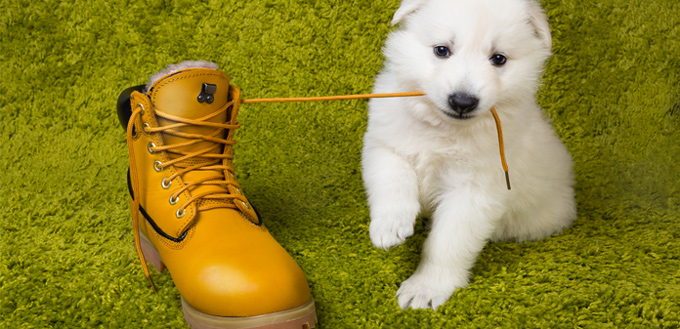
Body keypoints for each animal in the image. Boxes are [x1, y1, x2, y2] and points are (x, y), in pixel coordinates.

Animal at [362, 0, 572, 308]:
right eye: (441, 50)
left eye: (498, 58)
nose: (462, 101)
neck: (443, 128)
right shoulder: (385, 144)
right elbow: (393, 182)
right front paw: (389, 226)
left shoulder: (474, 192)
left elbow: (446, 243)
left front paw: (425, 288)